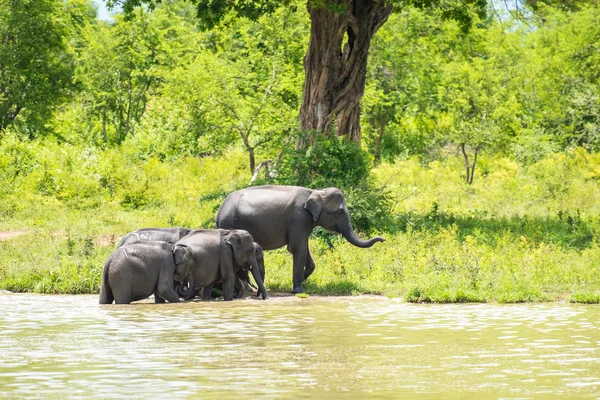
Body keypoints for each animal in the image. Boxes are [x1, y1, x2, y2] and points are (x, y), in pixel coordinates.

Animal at [218, 185, 386, 294]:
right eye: (339, 212)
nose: (383, 239)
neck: (316, 191)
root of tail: (219, 212)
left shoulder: (305, 222)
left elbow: (302, 247)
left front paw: (304, 278)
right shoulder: (298, 218)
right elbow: (298, 248)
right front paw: (298, 289)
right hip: (230, 222)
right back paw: (248, 289)